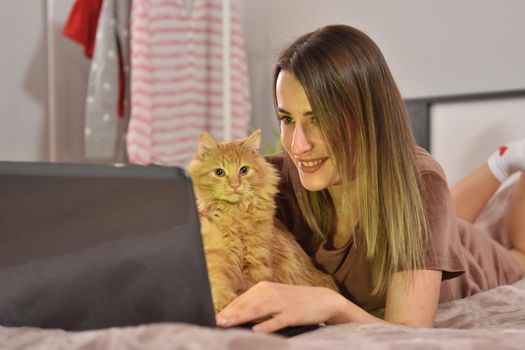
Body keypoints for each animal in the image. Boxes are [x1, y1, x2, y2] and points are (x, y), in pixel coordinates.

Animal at [186, 130, 338, 314]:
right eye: (219, 172)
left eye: (244, 170)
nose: (235, 185)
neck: (235, 215)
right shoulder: (217, 254)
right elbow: (218, 284)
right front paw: (223, 306)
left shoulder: (257, 262)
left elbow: (249, 291)